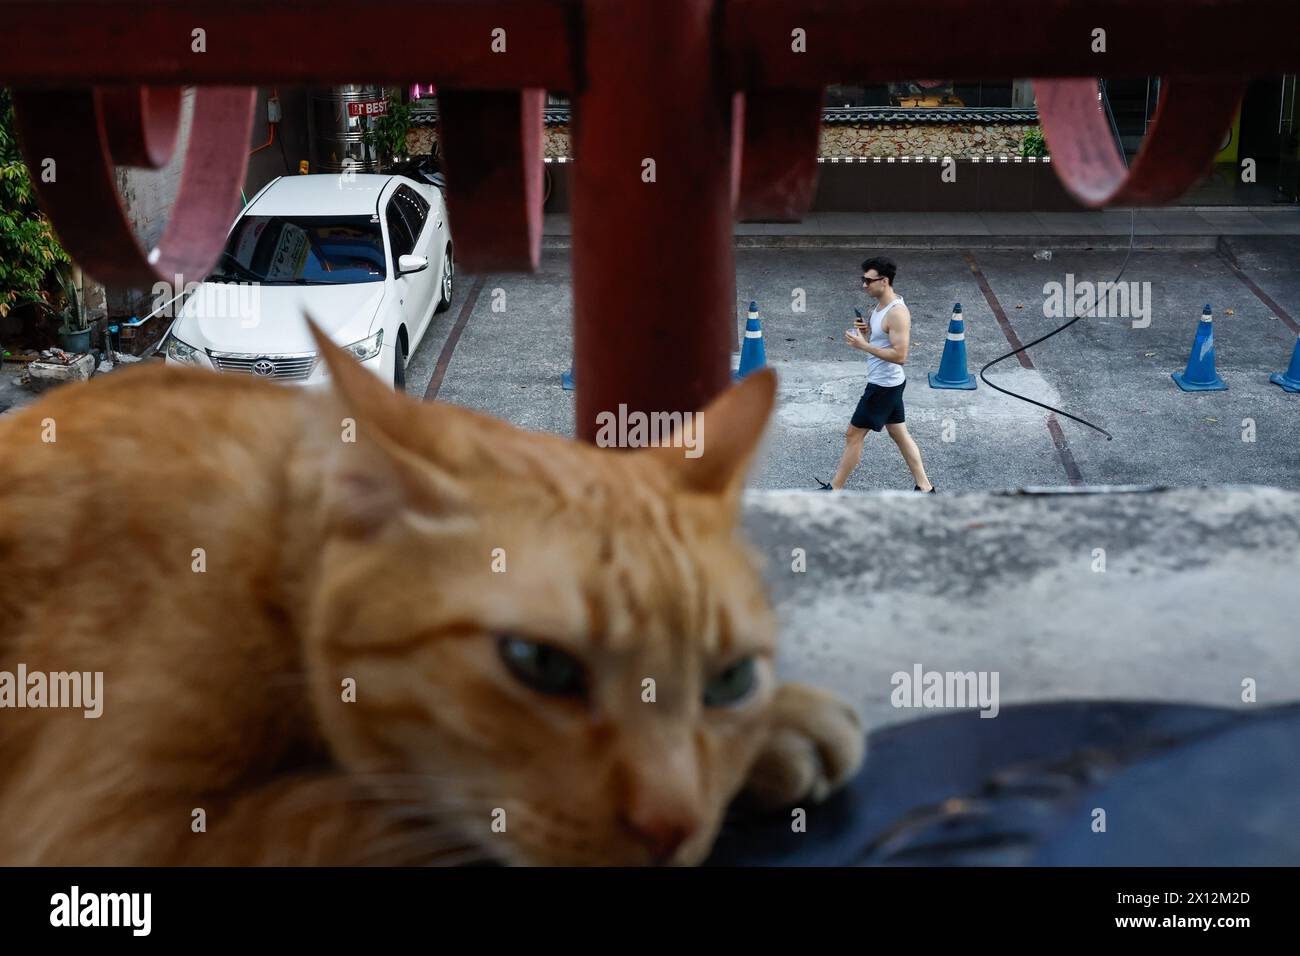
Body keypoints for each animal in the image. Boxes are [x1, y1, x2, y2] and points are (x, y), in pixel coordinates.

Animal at [2, 329, 863, 868]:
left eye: (731, 681)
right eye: (539, 665)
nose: (673, 828)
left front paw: (779, 725)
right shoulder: (107, 833)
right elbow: (372, 816)